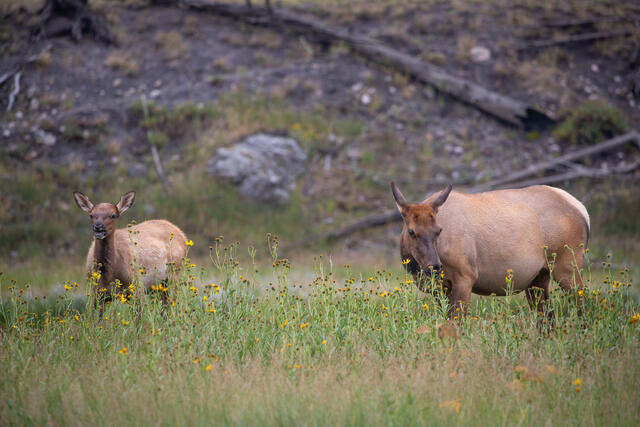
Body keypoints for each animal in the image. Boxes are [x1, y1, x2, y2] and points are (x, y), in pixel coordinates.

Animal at [390, 182, 589, 318]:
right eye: (412, 231)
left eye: (438, 230)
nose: (434, 266)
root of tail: (583, 210)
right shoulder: (440, 289)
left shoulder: (465, 276)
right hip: (538, 277)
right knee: (547, 319)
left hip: (567, 266)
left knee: (583, 307)